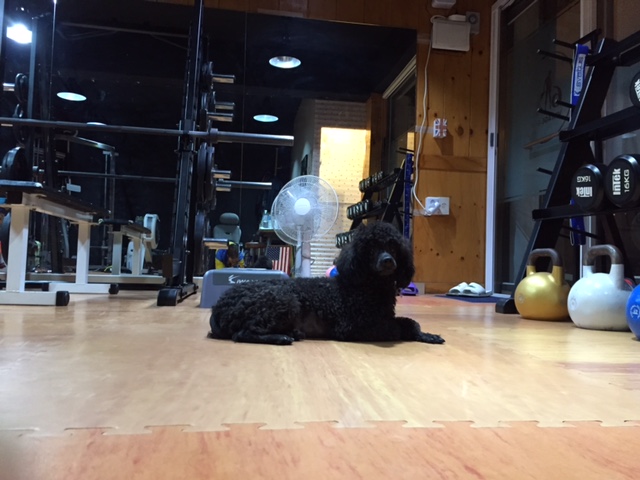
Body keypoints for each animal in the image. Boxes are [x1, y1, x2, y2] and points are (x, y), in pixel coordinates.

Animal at [208, 221, 444, 346]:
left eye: (393, 246)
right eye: (370, 248)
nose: (388, 260)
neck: (369, 287)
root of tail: (218, 306)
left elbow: (411, 322)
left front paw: (427, 335)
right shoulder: (356, 326)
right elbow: (401, 327)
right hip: (284, 300)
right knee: (243, 334)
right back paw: (282, 337)